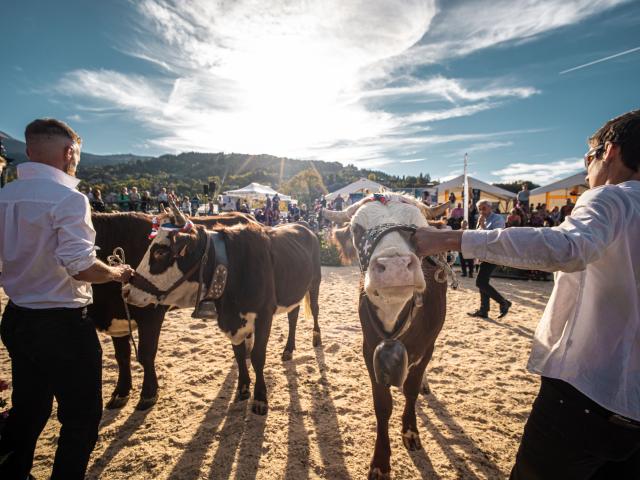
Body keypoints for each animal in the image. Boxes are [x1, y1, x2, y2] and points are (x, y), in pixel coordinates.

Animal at [121, 208, 320, 414]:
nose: (126, 291)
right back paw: (288, 349)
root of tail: (302, 225)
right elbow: (239, 354)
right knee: (293, 316)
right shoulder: (232, 322)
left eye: (160, 252)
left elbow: (257, 356)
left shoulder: (264, 314)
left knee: (314, 310)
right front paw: (243, 388)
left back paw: (316, 338)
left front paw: (260, 398)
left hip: (315, 282)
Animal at [328, 194, 448, 480]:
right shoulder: (369, 349)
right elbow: (382, 405)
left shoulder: (427, 346)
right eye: (356, 229)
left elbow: (411, 391)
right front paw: (380, 461)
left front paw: (410, 431)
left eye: (419, 228)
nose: (394, 267)